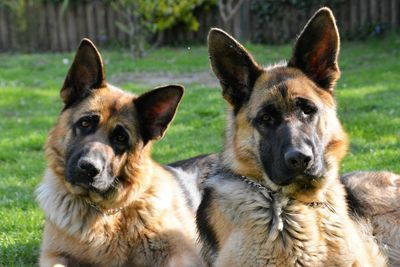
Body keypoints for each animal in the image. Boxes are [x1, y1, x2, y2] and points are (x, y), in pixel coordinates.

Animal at [36, 39, 205, 267]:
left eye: (121, 138)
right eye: (85, 123)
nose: (89, 168)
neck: (104, 212)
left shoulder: (185, 254)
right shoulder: (52, 255)